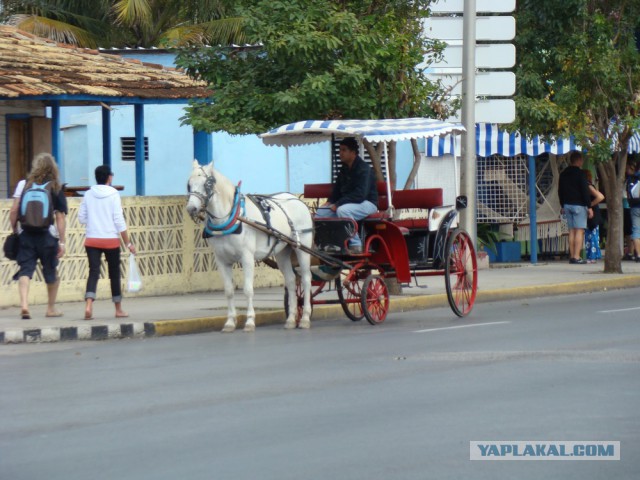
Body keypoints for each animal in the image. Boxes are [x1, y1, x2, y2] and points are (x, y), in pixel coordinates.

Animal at [185, 160, 316, 330]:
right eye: (189, 184)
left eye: (207, 184)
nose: (191, 208)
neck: (231, 218)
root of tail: (296, 199)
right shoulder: (221, 260)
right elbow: (229, 291)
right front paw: (230, 322)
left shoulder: (247, 257)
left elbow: (248, 290)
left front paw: (249, 321)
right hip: (283, 251)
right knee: (291, 280)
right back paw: (291, 319)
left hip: (302, 247)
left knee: (306, 279)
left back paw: (305, 318)